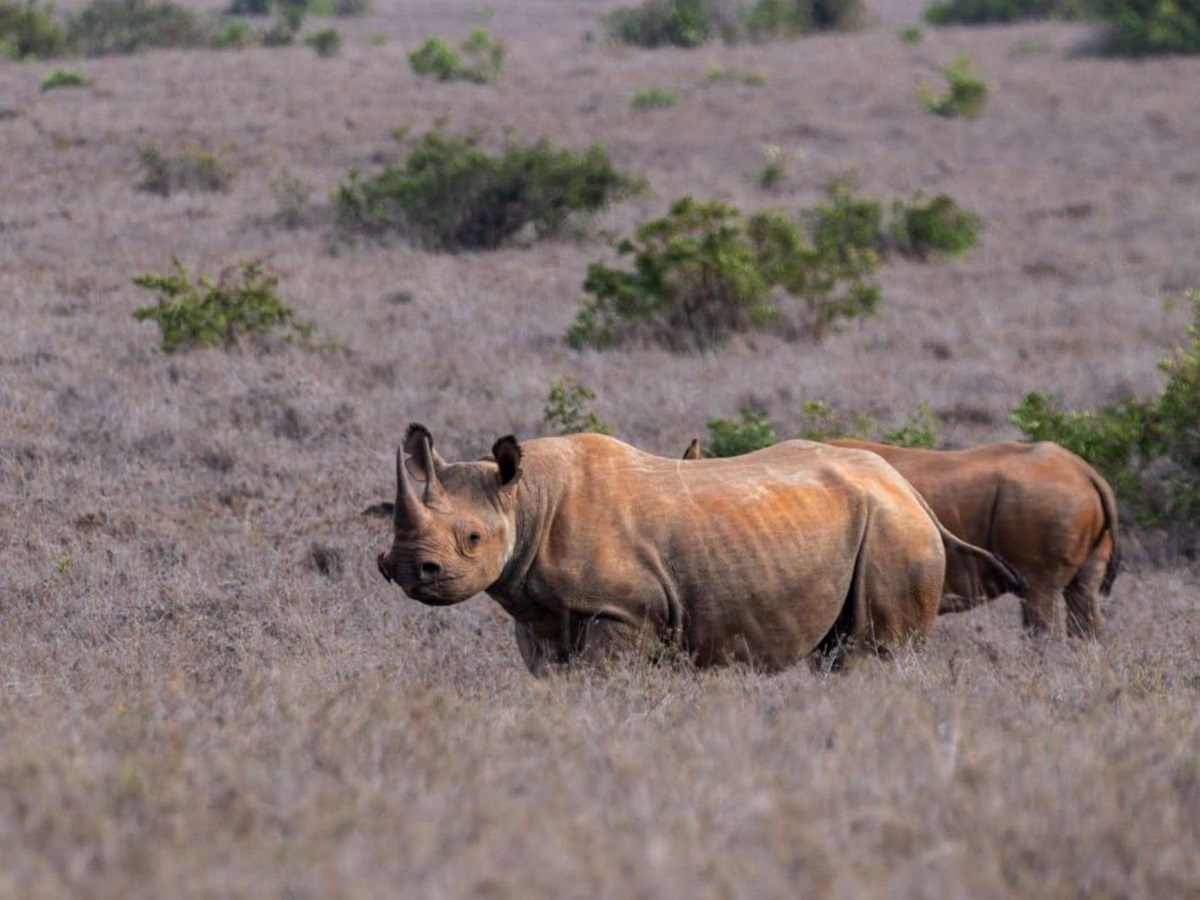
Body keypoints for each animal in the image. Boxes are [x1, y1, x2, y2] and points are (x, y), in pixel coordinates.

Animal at [377, 424, 1024, 674]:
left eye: (472, 539)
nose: (406, 568)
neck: (524, 499)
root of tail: (908, 489)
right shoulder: (542, 615)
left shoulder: (622, 612)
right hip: (876, 520)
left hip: (893, 530)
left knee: (878, 652)